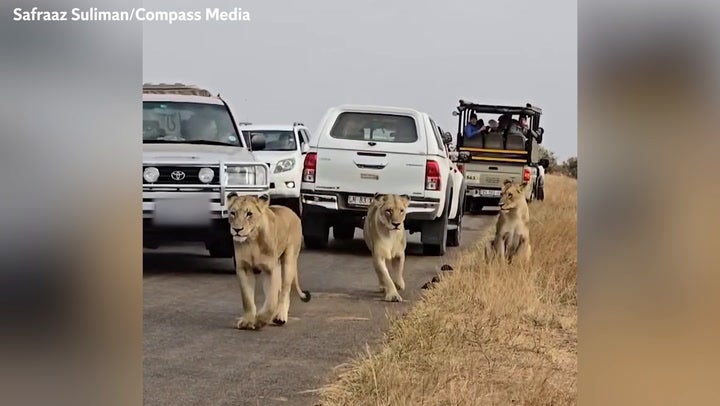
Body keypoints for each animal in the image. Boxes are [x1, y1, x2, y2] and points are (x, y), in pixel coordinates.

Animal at [226, 193, 311, 330]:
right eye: (233, 213)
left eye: (249, 214)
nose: (237, 229)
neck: (252, 240)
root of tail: (292, 212)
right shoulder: (244, 268)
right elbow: (247, 299)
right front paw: (247, 321)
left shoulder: (270, 269)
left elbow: (271, 300)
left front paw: (260, 320)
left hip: (289, 259)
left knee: (285, 290)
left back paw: (280, 316)